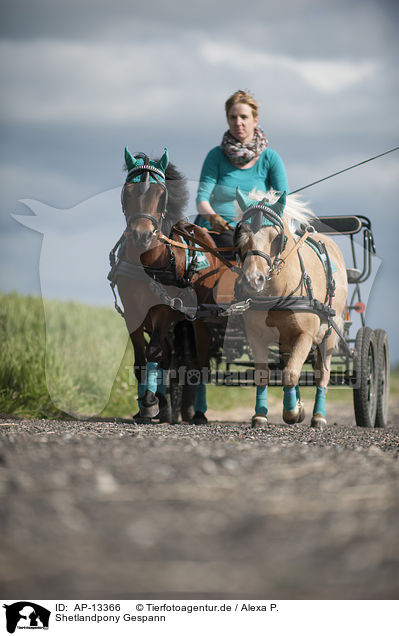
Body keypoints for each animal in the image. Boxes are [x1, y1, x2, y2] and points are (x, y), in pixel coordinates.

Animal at [111, 149, 220, 422]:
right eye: (128, 191)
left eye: (161, 194)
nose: (141, 235)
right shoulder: (133, 312)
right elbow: (142, 359)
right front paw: (147, 405)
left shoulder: (162, 311)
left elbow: (153, 353)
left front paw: (150, 402)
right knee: (171, 358)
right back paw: (167, 407)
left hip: (200, 319)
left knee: (198, 363)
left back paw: (197, 413)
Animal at [236, 188, 348, 428]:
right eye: (241, 235)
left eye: (277, 238)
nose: (253, 280)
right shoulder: (256, 336)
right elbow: (263, 374)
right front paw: (261, 415)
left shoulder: (306, 334)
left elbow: (291, 373)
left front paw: (291, 412)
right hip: (286, 338)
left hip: (329, 335)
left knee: (321, 374)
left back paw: (318, 417)